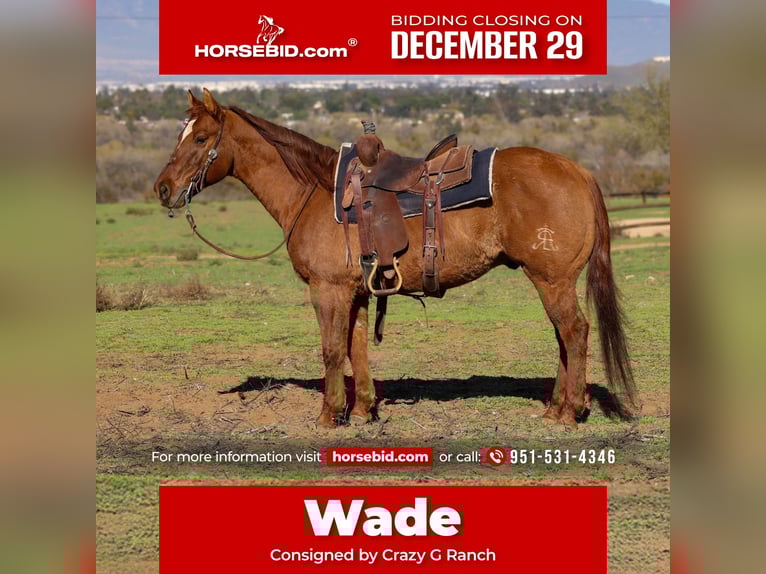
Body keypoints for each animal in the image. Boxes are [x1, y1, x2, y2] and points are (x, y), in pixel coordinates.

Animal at [153, 88, 636, 429]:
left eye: (200, 138)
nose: (163, 188)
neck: (316, 192)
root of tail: (577, 170)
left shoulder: (327, 291)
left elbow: (332, 349)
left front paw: (328, 415)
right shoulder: (357, 291)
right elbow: (357, 347)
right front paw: (362, 410)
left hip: (552, 280)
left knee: (574, 333)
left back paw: (570, 412)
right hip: (551, 281)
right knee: (564, 337)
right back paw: (555, 408)